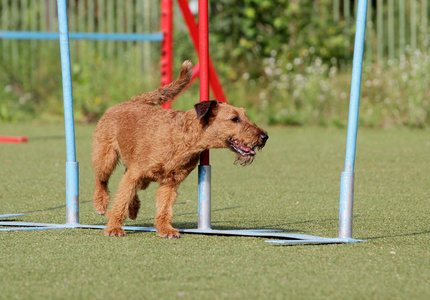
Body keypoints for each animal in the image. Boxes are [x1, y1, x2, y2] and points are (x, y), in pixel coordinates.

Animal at [92, 61, 268, 238]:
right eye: (234, 119)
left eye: (245, 116)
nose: (264, 136)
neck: (183, 137)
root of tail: (131, 101)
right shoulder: (137, 173)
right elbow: (121, 201)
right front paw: (114, 228)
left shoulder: (170, 182)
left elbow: (164, 209)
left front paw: (166, 229)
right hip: (106, 159)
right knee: (102, 180)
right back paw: (101, 203)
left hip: (137, 174)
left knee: (128, 183)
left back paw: (134, 208)